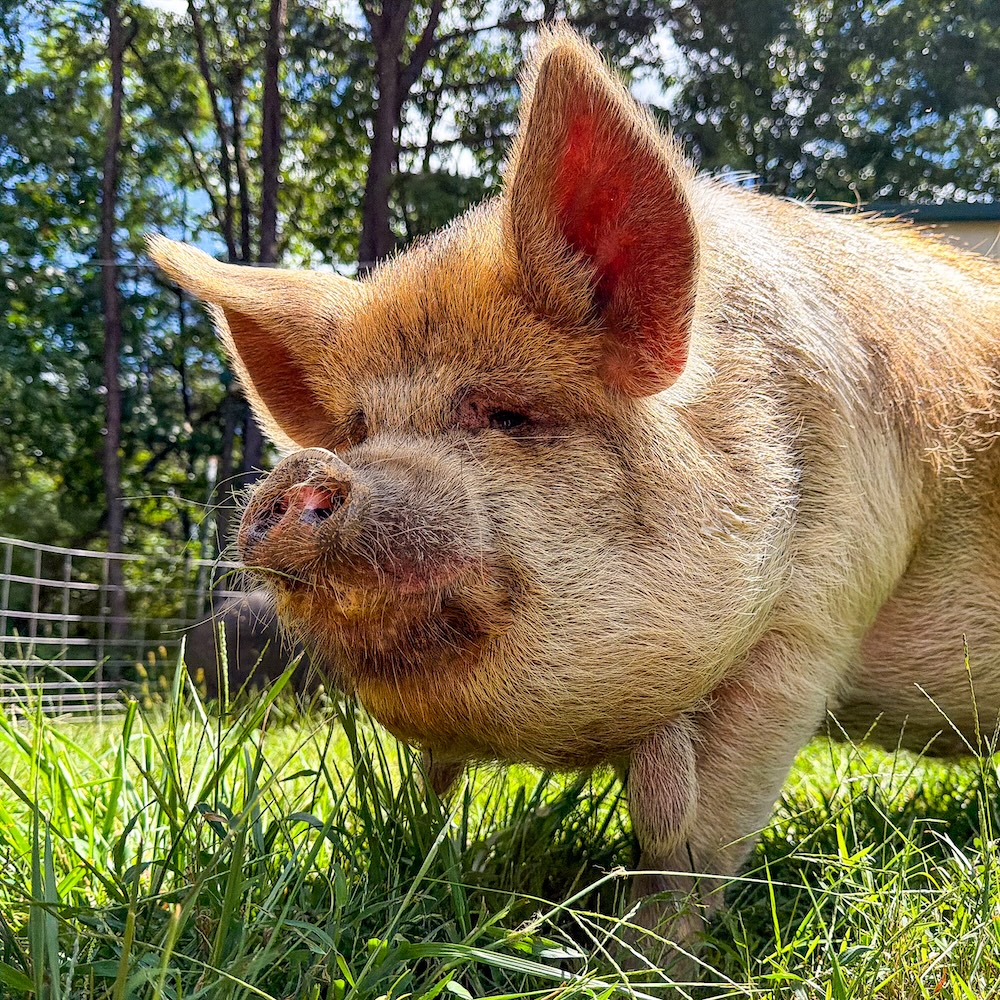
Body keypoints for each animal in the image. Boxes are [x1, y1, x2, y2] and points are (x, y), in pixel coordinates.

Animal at [149, 25, 1000, 968]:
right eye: (360, 428)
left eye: (507, 414)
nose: (305, 474)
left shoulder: (811, 618)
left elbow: (700, 839)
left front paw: (628, 963)